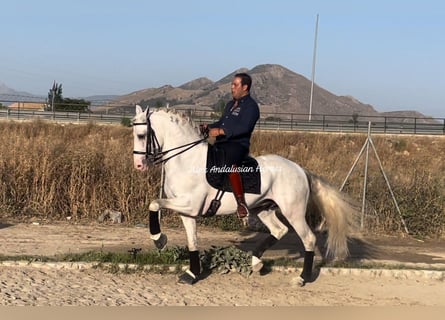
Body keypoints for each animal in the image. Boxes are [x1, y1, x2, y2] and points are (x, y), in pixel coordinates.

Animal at [132, 105, 358, 284]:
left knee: (308, 239)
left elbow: (154, 204)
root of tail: (301, 170)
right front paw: (191, 274)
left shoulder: (189, 204)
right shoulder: (187, 212)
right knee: (279, 230)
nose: (139, 165)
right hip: (263, 209)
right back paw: (255, 262)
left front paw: (158, 239)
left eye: (142, 135)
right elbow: (192, 242)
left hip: (293, 212)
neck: (186, 159)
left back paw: (301, 278)